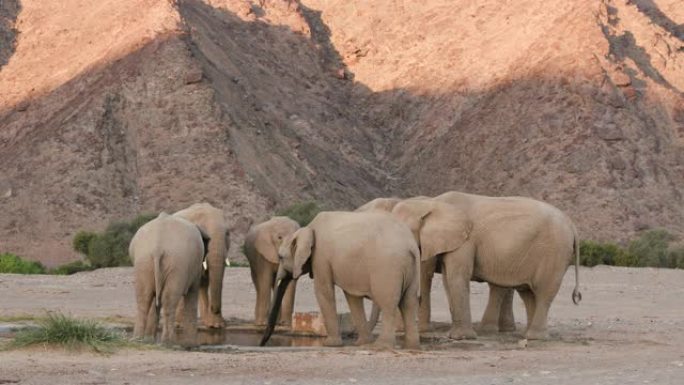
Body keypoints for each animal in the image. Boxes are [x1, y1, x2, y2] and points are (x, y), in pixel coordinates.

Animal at [130, 212, 210, 344]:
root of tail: (158, 247)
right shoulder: (195, 265)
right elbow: (192, 294)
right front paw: (191, 344)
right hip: (175, 264)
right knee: (169, 300)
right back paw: (168, 342)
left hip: (144, 262)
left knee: (144, 298)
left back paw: (139, 339)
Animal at [262, 210, 422, 348]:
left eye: (280, 257)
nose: (262, 343)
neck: (307, 228)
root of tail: (411, 245)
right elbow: (352, 297)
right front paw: (361, 344)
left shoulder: (321, 257)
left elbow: (323, 291)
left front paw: (330, 344)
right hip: (411, 269)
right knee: (409, 302)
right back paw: (411, 346)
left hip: (388, 268)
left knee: (388, 303)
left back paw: (381, 346)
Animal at [392, 192, 580, 340]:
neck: (432, 202)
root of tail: (571, 223)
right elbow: (447, 279)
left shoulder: (465, 241)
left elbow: (455, 277)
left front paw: (460, 337)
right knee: (528, 293)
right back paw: (527, 335)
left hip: (554, 252)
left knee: (543, 293)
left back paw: (534, 337)